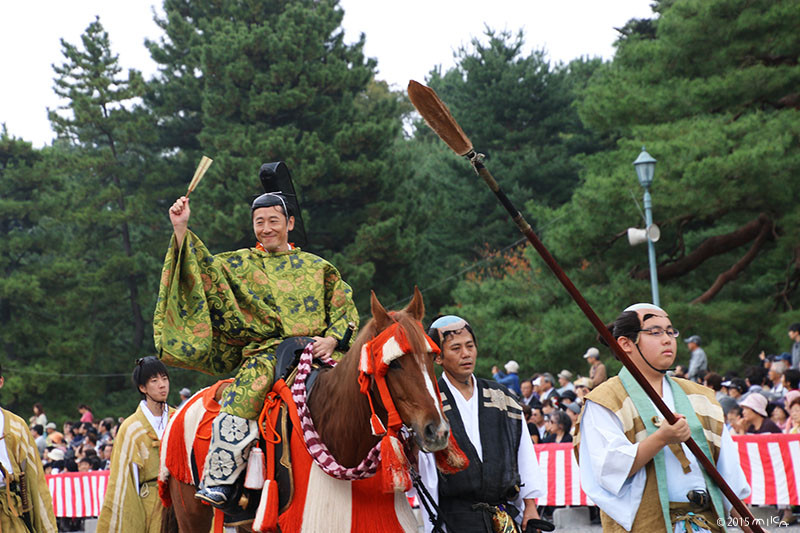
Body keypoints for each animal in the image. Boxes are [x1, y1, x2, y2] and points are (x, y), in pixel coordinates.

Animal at [161, 288, 450, 528]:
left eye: (432, 356)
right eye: (395, 363)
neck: (341, 437)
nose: (437, 430)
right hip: (192, 515)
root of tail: (180, 409)